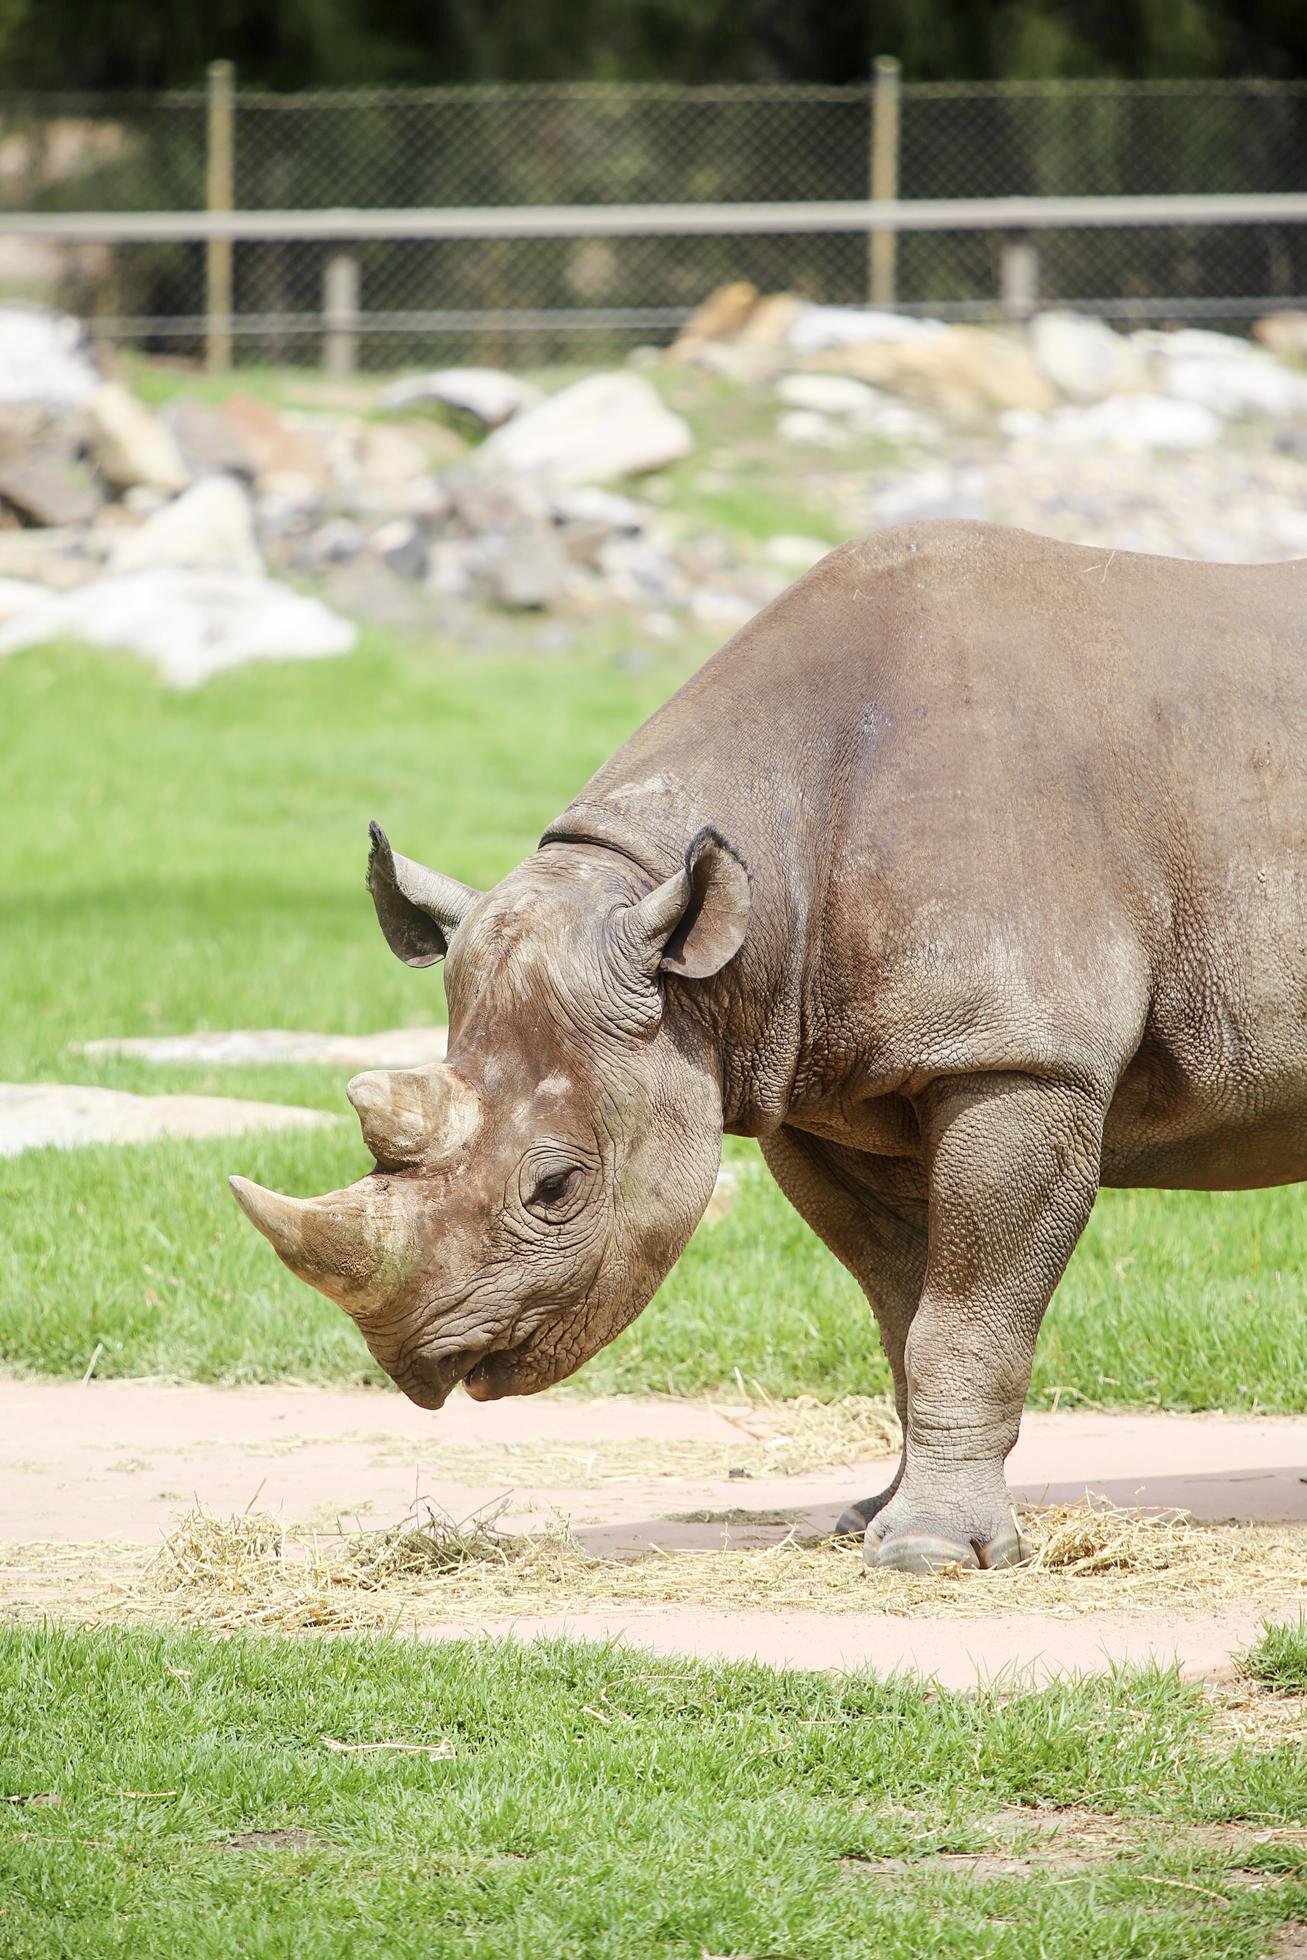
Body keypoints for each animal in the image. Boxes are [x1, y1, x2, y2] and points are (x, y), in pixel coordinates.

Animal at [231, 521, 1306, 1574]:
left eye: (556, 1189)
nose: (419, 1363)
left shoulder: (1018, 1057)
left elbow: (962, 1316)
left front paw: (929, 1552)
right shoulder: (823, 1084)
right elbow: (900, 1311)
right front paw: (869, 1519)